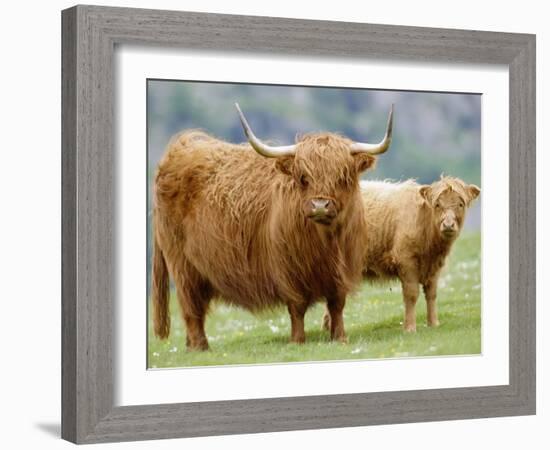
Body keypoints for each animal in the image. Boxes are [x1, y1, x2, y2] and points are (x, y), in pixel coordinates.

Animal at [151, 103, 394, 350]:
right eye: (303, 177)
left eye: (342, 177)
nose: (320, 205)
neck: (325, 243)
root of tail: (179, 149)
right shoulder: (288, 269)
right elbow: (297, 308)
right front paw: (297, 341)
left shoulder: (342, 271)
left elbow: (337, 306)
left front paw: (340, 338)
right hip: (182, 265)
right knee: (191, 308)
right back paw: (201, 347)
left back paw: (191, 346)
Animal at [326, 176, 480, 330]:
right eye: (437, 204)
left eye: (461, 204)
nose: (448, 225)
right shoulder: (406, 262)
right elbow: (411, 294)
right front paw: (410, 327)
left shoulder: (435, 267)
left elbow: (431, 294)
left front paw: (433, 323)